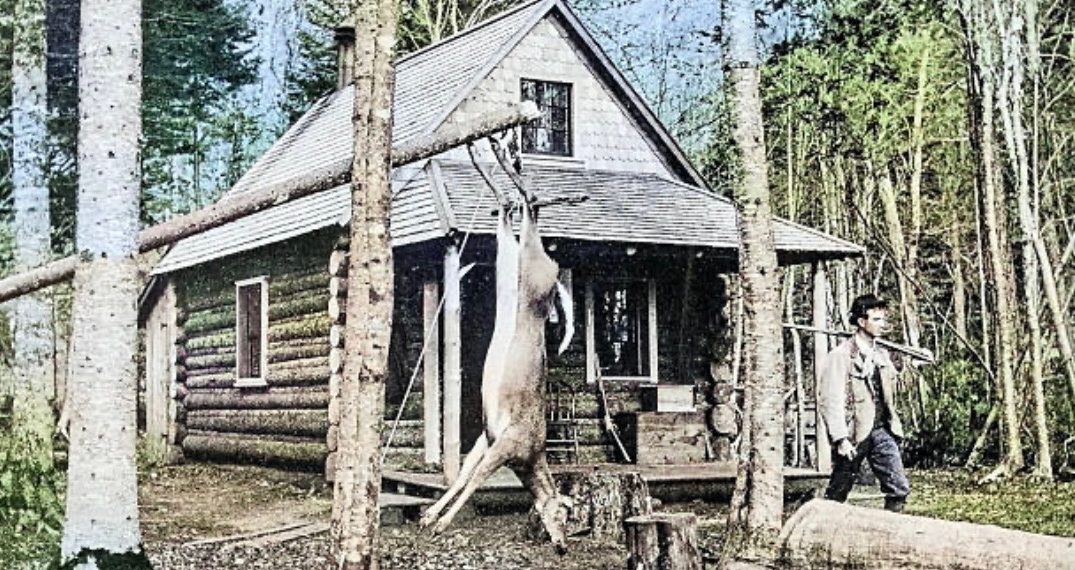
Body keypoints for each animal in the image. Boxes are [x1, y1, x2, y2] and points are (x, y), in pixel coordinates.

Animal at [420, 139, 575, 553]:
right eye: (564, 515)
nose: (562, 545)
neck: (530, 457)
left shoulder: (485, 435)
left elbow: (462, 474)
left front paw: (430, 516)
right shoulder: (505, 443)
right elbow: (472, 479)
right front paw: (440, 522)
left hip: (509, 257)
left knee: (508, 210)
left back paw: (487, 152)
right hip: (536, 269)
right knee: (525, 205)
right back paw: (501, 155)